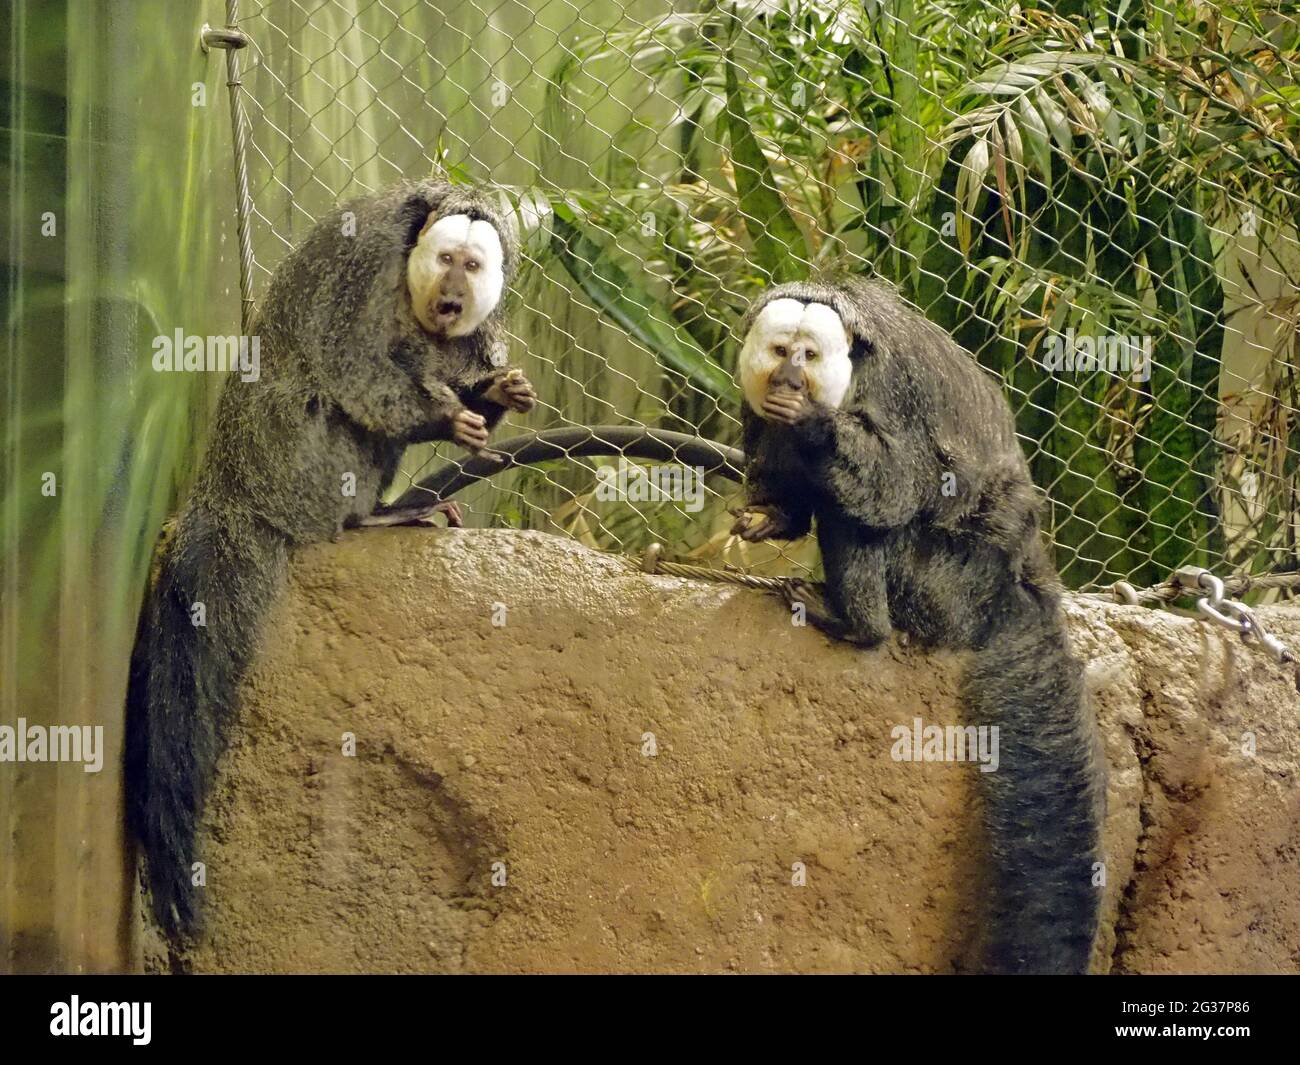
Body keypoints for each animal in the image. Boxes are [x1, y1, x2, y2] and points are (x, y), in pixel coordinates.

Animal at [125, 180, 537, 940]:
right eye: (447, 259)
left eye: (473, 267)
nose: (452, 293)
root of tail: (228, 488)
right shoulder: (364, 260)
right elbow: (351, 367)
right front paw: (444, 417)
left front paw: (493, 396)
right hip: (295, 471)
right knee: (338, 404)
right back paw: (365, 516)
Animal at [731, 275, 1105, 974]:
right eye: (781, 351)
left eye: (810, 358)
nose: (790, 380)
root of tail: (1014, 588)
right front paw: (768, 518)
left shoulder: (890, 391)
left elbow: (899, 483)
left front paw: (818, 427)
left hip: (946, 586)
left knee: (862, 513)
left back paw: (858, 624)